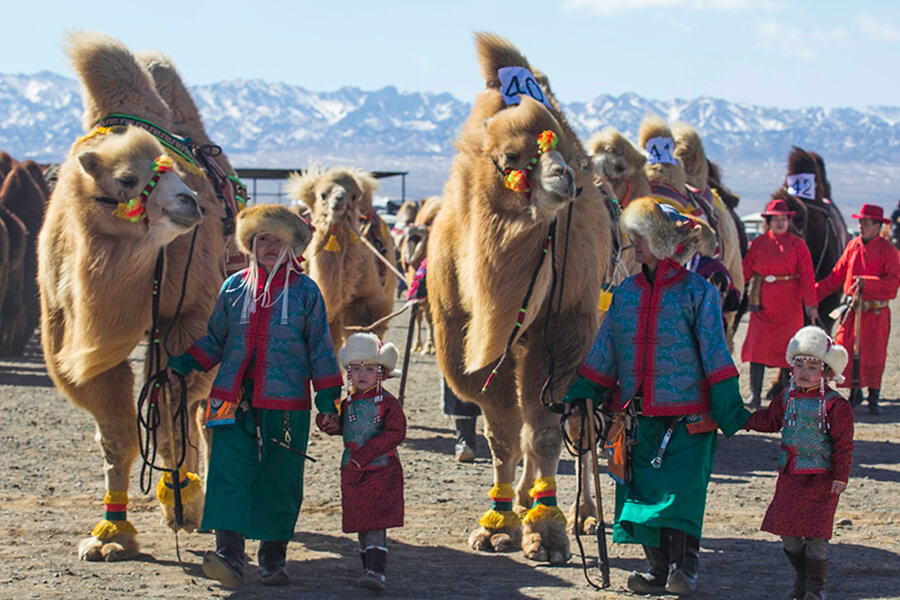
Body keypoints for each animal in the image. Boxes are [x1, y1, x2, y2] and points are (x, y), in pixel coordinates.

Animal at [424, 32, 608, 564]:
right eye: (510, 157)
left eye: (566, 152)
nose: (565, 177)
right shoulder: (467, 338)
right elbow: (504, 435)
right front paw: (499, 525)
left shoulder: (563, 332)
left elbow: (545, 433)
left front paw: (546, 535)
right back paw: (527, 499)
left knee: (580, 430)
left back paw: (584, 516)